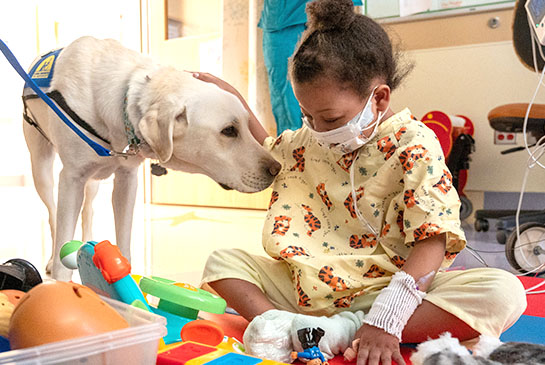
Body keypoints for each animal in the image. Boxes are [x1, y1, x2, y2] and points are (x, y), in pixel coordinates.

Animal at [21, 37, 278, 280]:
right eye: (229, 130)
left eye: (246, 125)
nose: (277, 168)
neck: (124, 101)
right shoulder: (72, 178)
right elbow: (63, 238)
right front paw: (60, 282)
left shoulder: (127, 180)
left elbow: (123, 240)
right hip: (42, 170)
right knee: (53, 215)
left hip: (93, 182)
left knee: (88, 211)